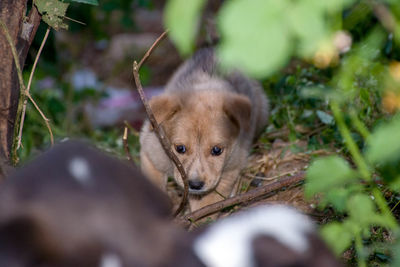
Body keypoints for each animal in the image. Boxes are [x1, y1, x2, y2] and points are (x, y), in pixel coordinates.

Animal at [140, 47, 268, 211]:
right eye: (180, 148)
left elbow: (209, 201)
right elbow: (153, 182)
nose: (195, 184)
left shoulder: (233, 165)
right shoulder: (151, 151)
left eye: (217, 150)